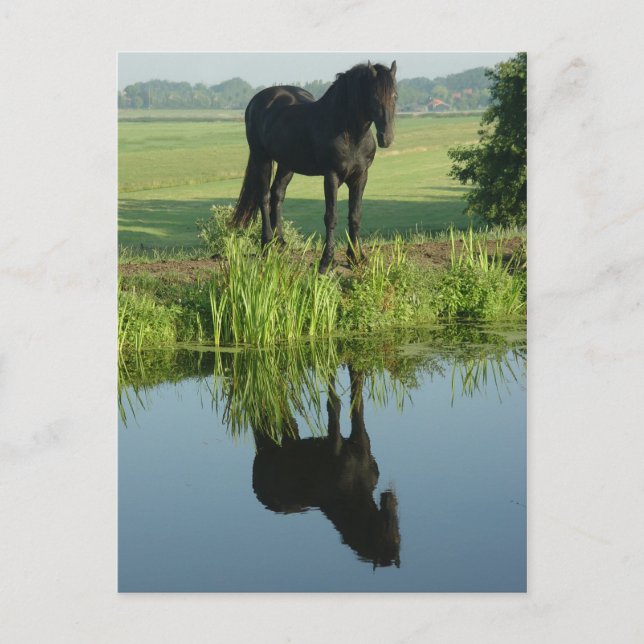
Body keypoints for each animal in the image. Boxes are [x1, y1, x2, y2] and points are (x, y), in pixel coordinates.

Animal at [230, 61, 398, 273]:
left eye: (395, 95)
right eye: (374, 96)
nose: (386, 138)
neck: (350, 133)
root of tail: (257, 101)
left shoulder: (360, 176)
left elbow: (355, 215)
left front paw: (356, 258)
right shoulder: (331, 176)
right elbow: (331, 216)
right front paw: (326, 262)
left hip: (287, 164)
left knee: (277, 195)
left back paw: (281, 243)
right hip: (262, 158)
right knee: (264, 197)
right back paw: (267, 245)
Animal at [252, 367, 401, 568]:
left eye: (398, 538)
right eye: (386, 533)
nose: (390, 497)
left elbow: (357, 401)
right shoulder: (334, 443)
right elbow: (334, 405)